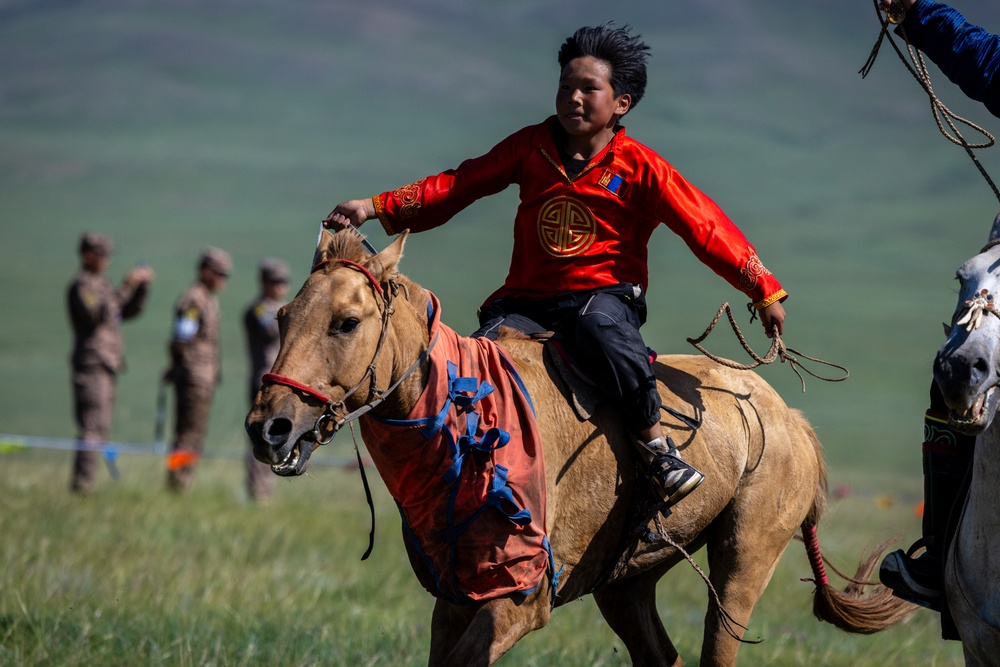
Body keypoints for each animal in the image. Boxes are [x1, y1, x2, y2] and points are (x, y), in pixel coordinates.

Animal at [244, 231, 916, 667]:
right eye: (282, 315)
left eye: (346, 322)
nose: (268, 428)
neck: (471, 431)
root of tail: (791, 421)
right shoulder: (456, 602)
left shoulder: (519, 602)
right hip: (626, 582)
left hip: (742, 562)